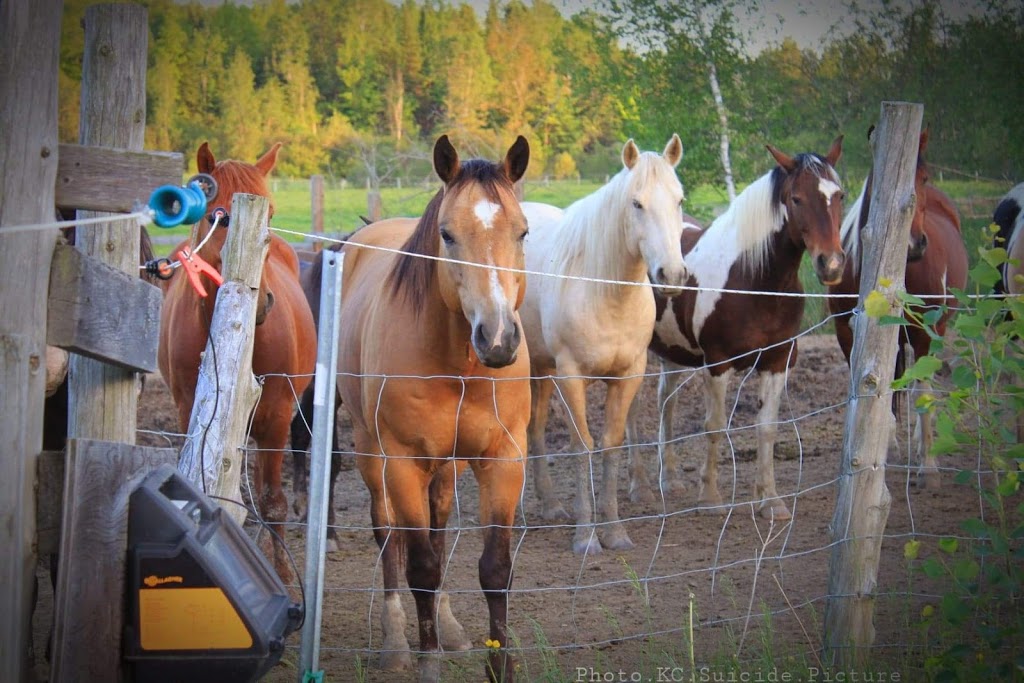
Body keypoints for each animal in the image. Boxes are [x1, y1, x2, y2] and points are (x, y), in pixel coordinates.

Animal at [154, 143, 315, 581]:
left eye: (271, 214)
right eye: (215, 216)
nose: (261, 302)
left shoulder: (276, 416)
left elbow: (272, 501)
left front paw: (284, 575)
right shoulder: (189, 411)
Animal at [335, 136, 532, 679]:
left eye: (523, 232)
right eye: (447, 234)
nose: (498, 338)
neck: (459, 362)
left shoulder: (504, 460)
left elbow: (494, 568)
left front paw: (498, 666)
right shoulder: (402, 461)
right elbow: (419, 566)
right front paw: (425, 662)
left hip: (445, 465)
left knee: (439, 528)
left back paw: (448, 628)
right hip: (372, 452)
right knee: (388, 532)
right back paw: (395, 640)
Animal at [520, 135, 688, 557]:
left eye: (679, 200)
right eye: (637, 203)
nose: (671, 274)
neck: (605, 293)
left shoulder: (628, 376)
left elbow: (611, 444)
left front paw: (613, 531)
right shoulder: (571, 376)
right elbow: (583, 445)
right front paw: (586, 536)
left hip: (540, 368)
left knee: (536, 428)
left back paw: (550, 505)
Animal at [626, 136, 843, 520]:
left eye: (840, 195)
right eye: (796, 199)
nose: (830, 265)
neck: (755, 281)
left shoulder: (777, 362)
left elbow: (767, 428)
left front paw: (770, 501)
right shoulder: (718, 363)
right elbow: (714, 426)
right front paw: (710, 497)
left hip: (671, 350)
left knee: (666, 401)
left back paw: (670, 479)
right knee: (633, 411)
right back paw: (640, 486)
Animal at [823, 127, 966, 489]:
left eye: (924, 177)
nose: (915, 244)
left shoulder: (922, 331)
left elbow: (922, 392)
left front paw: (928, 465)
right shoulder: (846, 333)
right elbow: (872, 389)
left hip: (935, 329)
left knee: (920, 382)